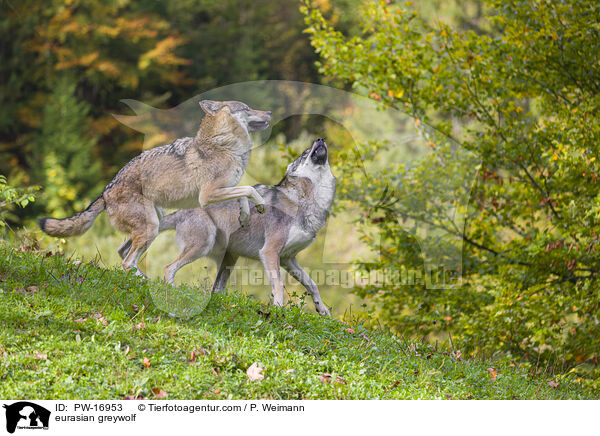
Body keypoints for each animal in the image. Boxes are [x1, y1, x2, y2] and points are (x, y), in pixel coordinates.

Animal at [38, 100, 270, 274]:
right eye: (247, 108)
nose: (268, 111)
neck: (224, 145)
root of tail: (105, 191)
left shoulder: (222, 191)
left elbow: (243, 194)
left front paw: (245, 215)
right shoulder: (207, 196)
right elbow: (249, 189)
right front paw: (261, 205)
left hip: (155, 224)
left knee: (127, 258)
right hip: (151, 227)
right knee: (127, 262)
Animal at [142, 138, 336, 316]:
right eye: (305, 153)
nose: (320, 139)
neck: (303, 201)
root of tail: (180, 211)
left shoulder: (288, 258)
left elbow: (312, 284)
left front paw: (322, 310)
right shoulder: (269, 252)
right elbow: (279, 285)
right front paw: (278, 311)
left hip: (228, 261)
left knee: (215, 289)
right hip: (202, 247)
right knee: (168, 268)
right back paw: (174, 294)